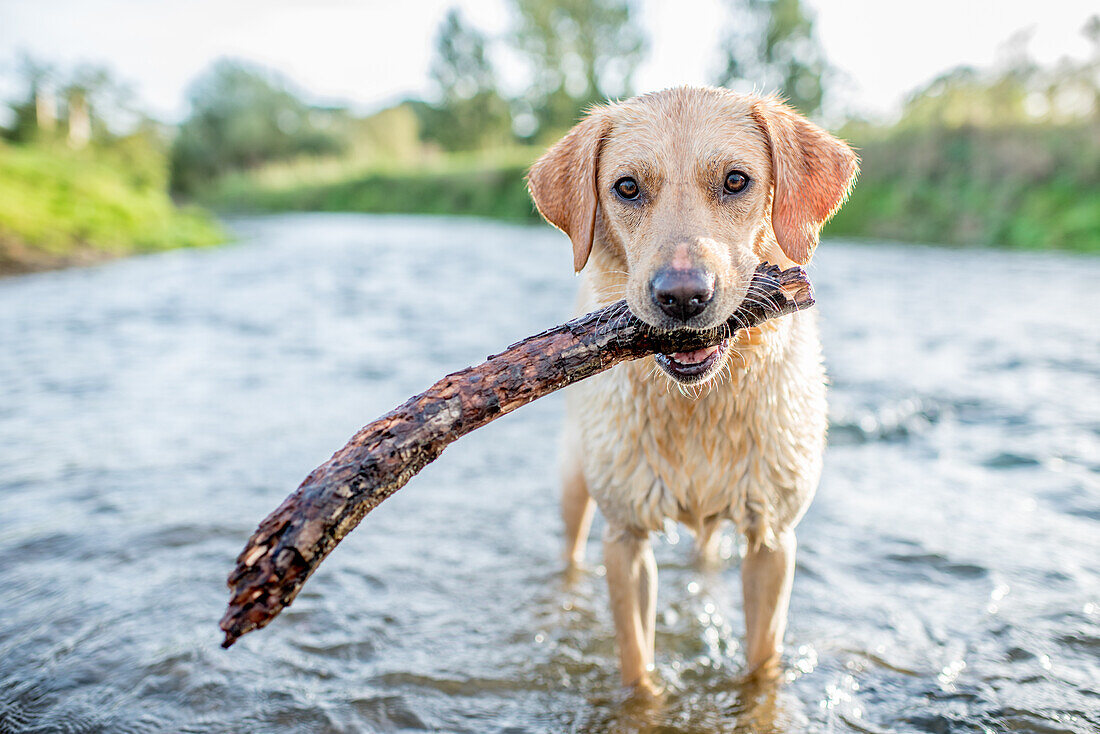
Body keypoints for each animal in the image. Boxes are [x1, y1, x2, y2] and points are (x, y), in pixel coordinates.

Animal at [525, 86, 858, 695]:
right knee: (571, 550)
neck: (699, 404)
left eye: (736, 181)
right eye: (626, 187)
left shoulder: (773, 539)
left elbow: (762, 663)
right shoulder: (626, 538)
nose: (682, 297)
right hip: (574, 484)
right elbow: (637, 665)